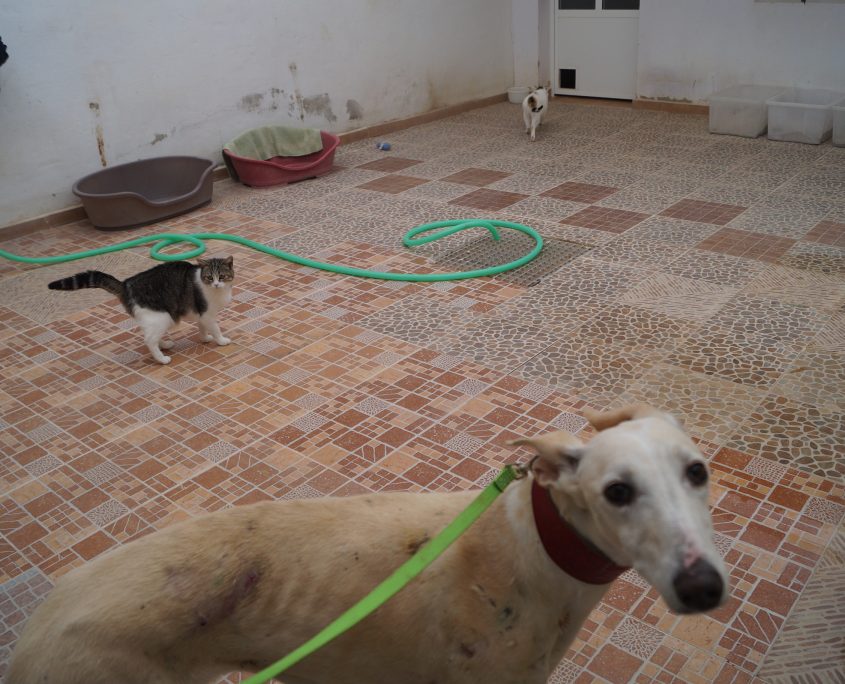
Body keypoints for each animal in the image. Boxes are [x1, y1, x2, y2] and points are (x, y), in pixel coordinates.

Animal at [48, 257, 235, 365]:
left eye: (222, 276)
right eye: (209, 277)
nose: (216, 284)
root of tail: (125, 284)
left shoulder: (201, 314)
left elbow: (202, 328)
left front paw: (204, 338)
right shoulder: (207, 314)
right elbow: (215, 328)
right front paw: (221, 340)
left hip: (156, 319)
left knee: (150, 335)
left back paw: (164, 345)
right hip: (162, 317)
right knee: (149, 340)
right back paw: (162, 359)